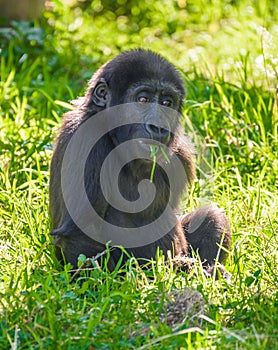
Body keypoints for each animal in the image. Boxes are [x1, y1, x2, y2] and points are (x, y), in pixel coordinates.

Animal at [48, 49, 231, 272]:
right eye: (142, 99)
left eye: (167, 103)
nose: (158, 127)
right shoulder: (88, 138)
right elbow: (81, 234)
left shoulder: (180, 151)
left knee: (212, 216)